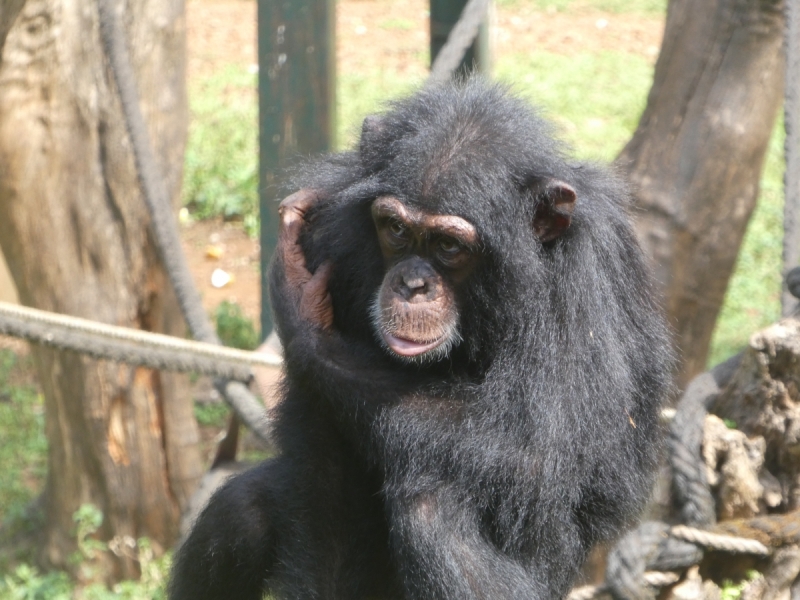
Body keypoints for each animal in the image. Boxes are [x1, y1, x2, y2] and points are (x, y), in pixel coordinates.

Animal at [170, 79, 676, 600]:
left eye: (448, 245)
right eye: (395, 228)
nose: (413, 283)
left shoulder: (584, 282)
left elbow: (541, 454)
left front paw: (305, 319)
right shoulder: (333, 238)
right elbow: (322, 458)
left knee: (435, 514)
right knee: (242, 507)